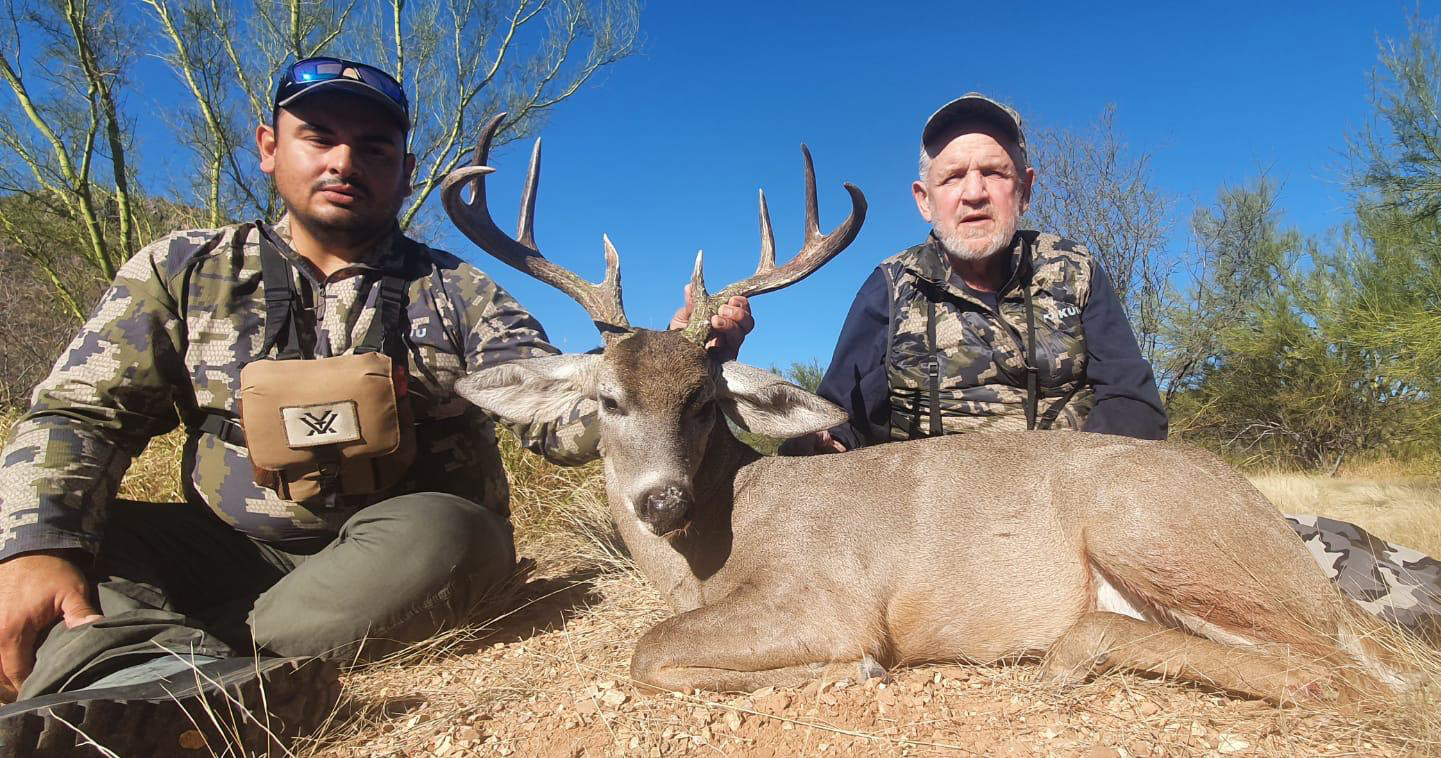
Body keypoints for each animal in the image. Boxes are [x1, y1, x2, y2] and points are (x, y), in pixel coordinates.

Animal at [440, 114, 1416, 704]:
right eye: (607, 399)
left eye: (704, 401)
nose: (660, 499)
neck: (713, 545)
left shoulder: (821, 596)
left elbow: (651, 650)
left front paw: (854, 669)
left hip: (1149, 527)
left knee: (1339, 670)